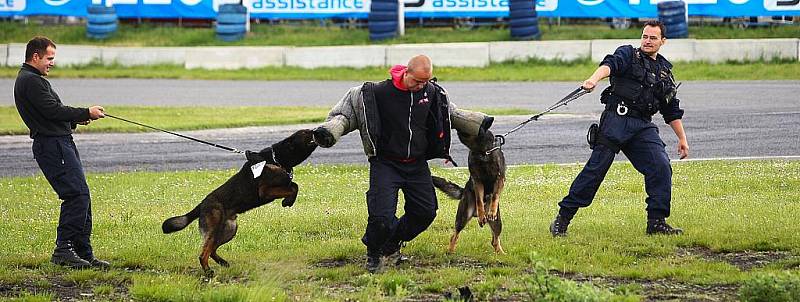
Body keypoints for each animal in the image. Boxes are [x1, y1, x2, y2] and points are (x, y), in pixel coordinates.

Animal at [162, 129, 318, 272]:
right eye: (305, 133)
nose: (316, 130)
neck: (276, 158)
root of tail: (201, 205)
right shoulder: (265, 191)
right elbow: (293, 187)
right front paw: (287, 201)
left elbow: (294, 185)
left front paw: (288, 201)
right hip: (216, 228)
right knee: (204, 253)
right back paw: (207, 271)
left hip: (229, 230)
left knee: (212, 250)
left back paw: (222, 262)